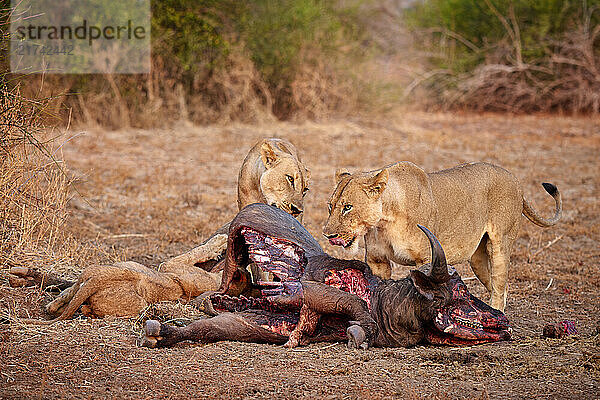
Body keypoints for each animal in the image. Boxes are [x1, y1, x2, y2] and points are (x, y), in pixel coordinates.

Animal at [324, 161, 564, 310]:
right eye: (330, 206)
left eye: (348, 207)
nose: (328, 235)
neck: (386, 221)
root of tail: (515, 179)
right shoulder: (377, 261)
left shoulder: (427, 258)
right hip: (477, 259)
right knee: (500, 287)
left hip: (500, 243)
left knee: (499, 285)